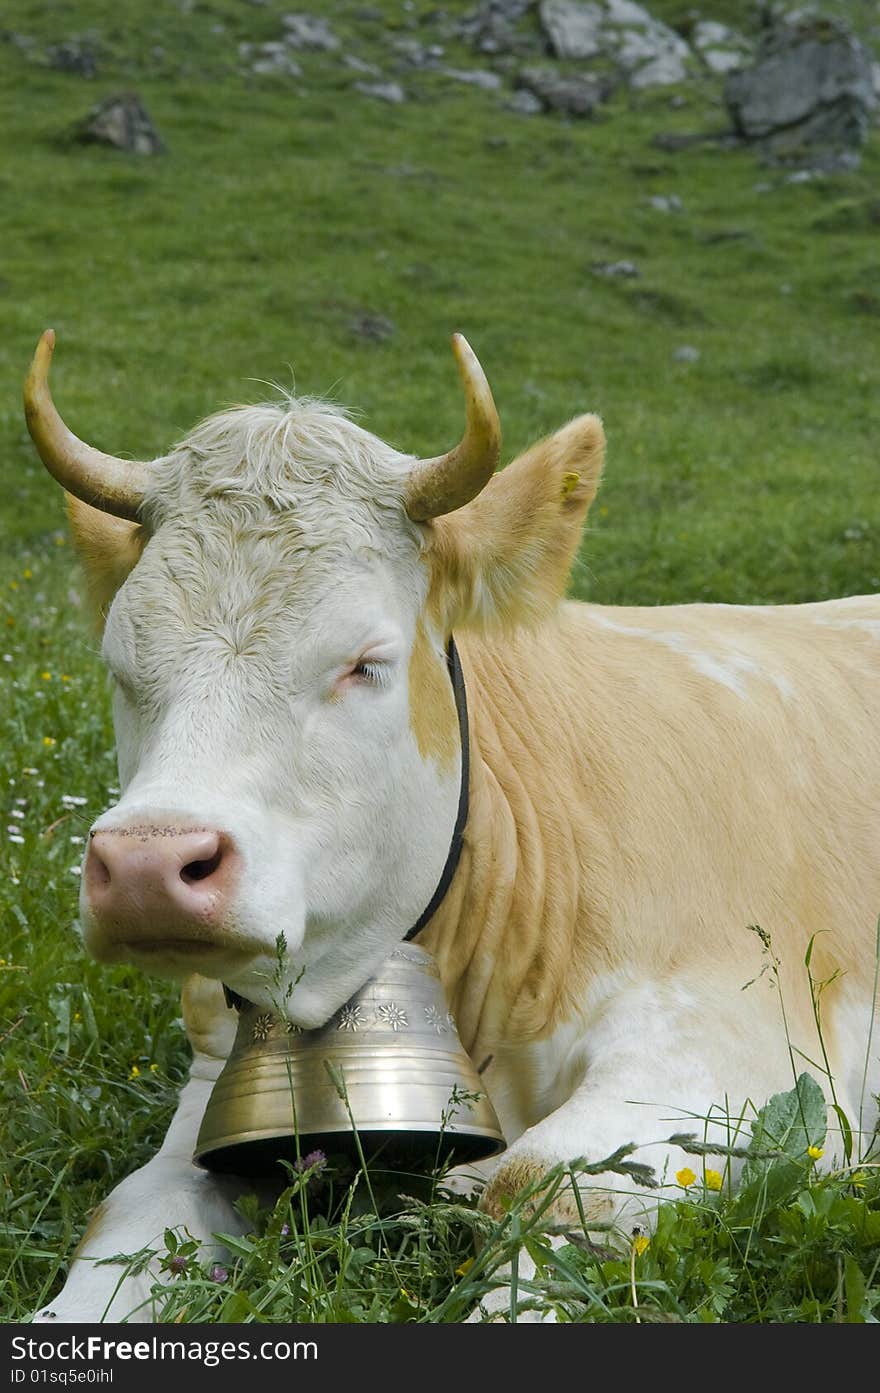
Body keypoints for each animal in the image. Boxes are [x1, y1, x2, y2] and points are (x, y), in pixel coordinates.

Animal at [22, 331, 880, 1320]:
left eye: (364, 661)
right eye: (121, 663)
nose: (146, 869)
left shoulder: (741, 1057)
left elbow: (544, 1187)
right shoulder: (216, 1087)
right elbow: (128, 1220)